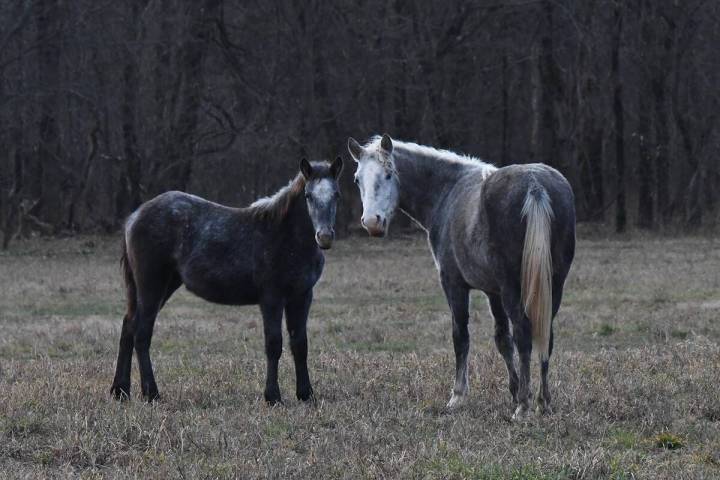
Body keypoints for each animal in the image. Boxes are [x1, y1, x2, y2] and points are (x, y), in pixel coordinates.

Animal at [110, 157, 343, 404]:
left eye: (337, 194)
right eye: (308, 195)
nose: (324, 237)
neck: (287, 238)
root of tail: (134, 216)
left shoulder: (302, 296)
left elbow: (300, 344)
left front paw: (306, 394)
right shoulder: (272, 298)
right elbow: (274, 344)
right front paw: (272, 396)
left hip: (161, 286)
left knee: (129, 326)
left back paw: (120, 391)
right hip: (151, 286)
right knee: (141, 334)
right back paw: (151, 393)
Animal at [348, 134, 575, 418]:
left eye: (389, 174)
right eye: (357, 179)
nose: (372, 223)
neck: (447, 191)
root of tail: (535, 185)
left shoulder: (454, 285)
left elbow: (461, 337)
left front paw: (458, 395)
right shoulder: (493, 292)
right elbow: (502, 339)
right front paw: (512, 390)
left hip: (514, 288)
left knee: (524, 332)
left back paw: (524, 406)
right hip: (553, 286)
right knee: (545, 334)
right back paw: (543, 401)